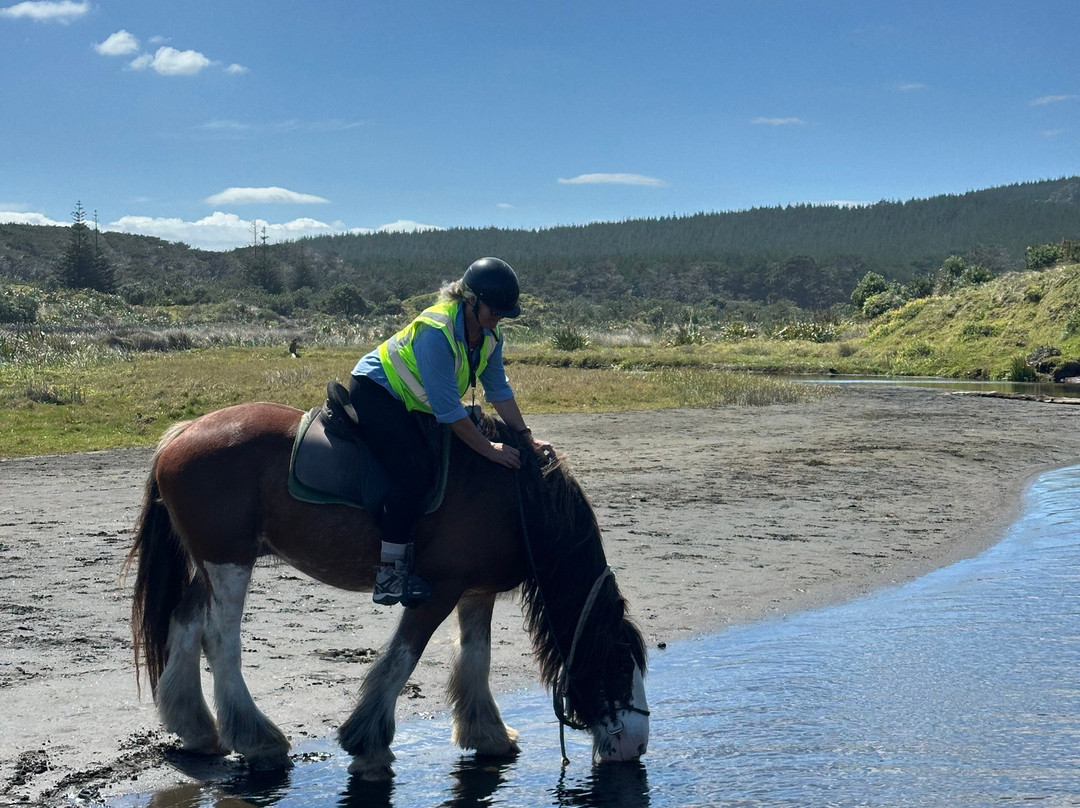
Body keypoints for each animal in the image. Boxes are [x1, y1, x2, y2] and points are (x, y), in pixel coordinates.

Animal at [125, 401, 649, 779]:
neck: (512, 494)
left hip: (213, 564)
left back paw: (195, 727)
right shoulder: (437, 590)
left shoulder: (474, 591)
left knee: (185, 622)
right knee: (219, 640)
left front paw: (489, 736)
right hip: (230, 562)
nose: (636, 746)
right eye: (621, 666)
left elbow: (476, 656)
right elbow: (402, 658)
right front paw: (368, 742)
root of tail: (181, 434)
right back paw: (258, 740)